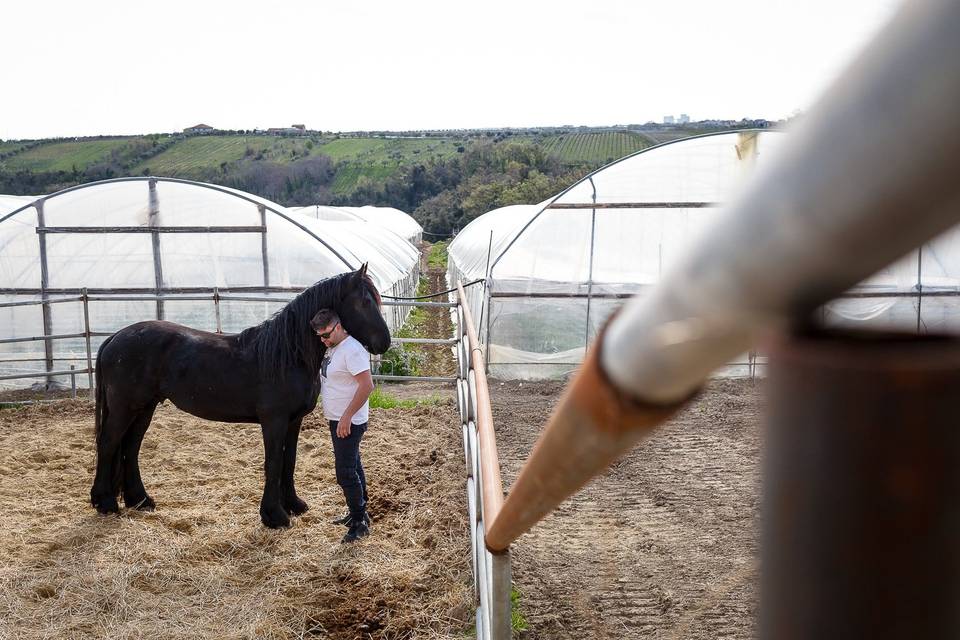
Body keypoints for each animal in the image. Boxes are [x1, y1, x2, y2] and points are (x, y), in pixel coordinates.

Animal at [90, 264, 390, 528]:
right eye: (364, 302)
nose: (384, 343)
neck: (287, 355)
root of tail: (114, 338)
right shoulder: (274, 421)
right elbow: (274, 462)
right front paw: (274, 516)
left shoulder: (293, 421)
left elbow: (289, 461)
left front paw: (293, 505)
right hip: (125, 408)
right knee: (109, 444)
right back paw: (105, 502)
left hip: (144, 408)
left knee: (131, 447)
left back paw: (140, 500)